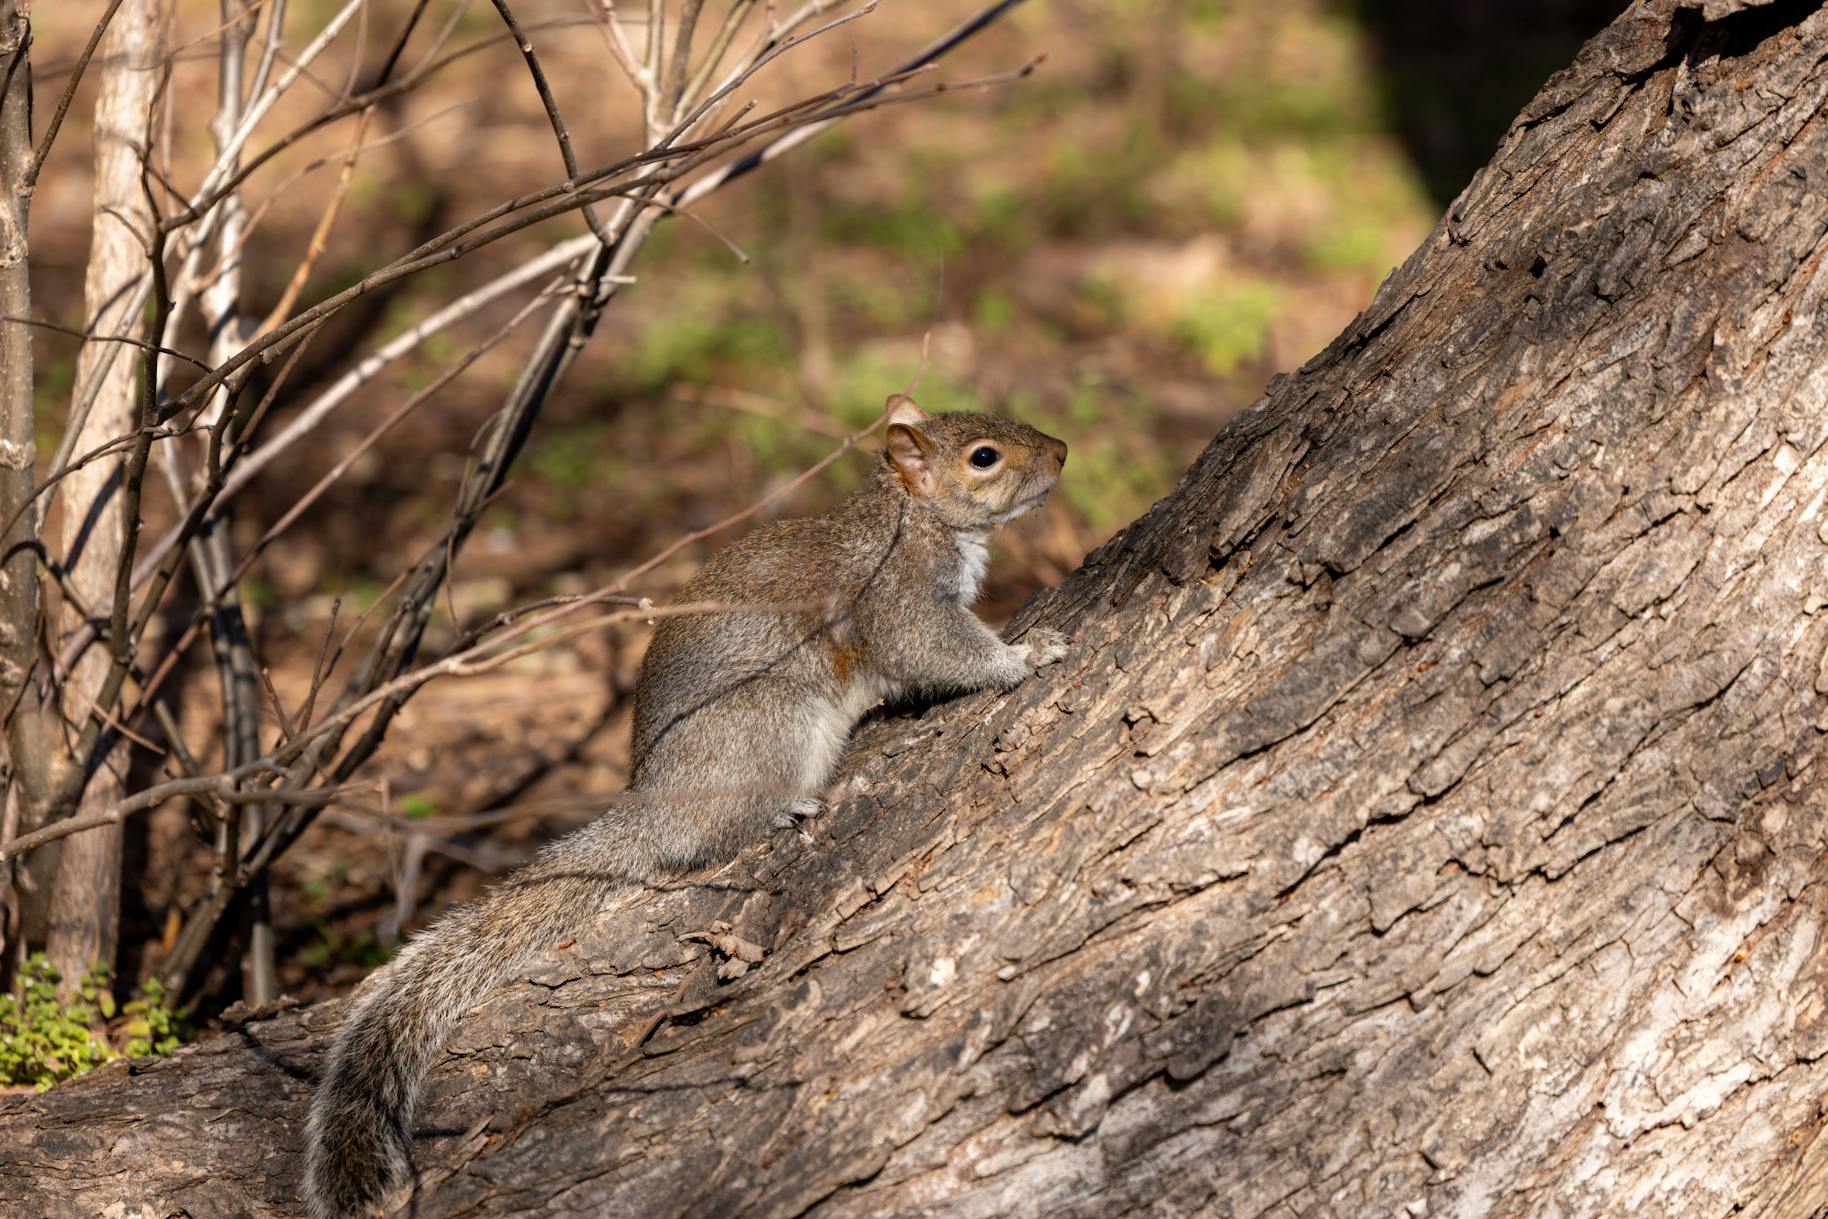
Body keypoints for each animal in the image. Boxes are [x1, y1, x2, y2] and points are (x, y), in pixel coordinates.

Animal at [302, 394, 1070, 1218]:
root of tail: (656, 802)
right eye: (984, 456)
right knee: (716, 835)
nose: (1062, 451)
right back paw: (779, 813)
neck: (910, 516)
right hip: (770, 724)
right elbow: (939, 650)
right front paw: (1023, 657)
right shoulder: (900, 601)